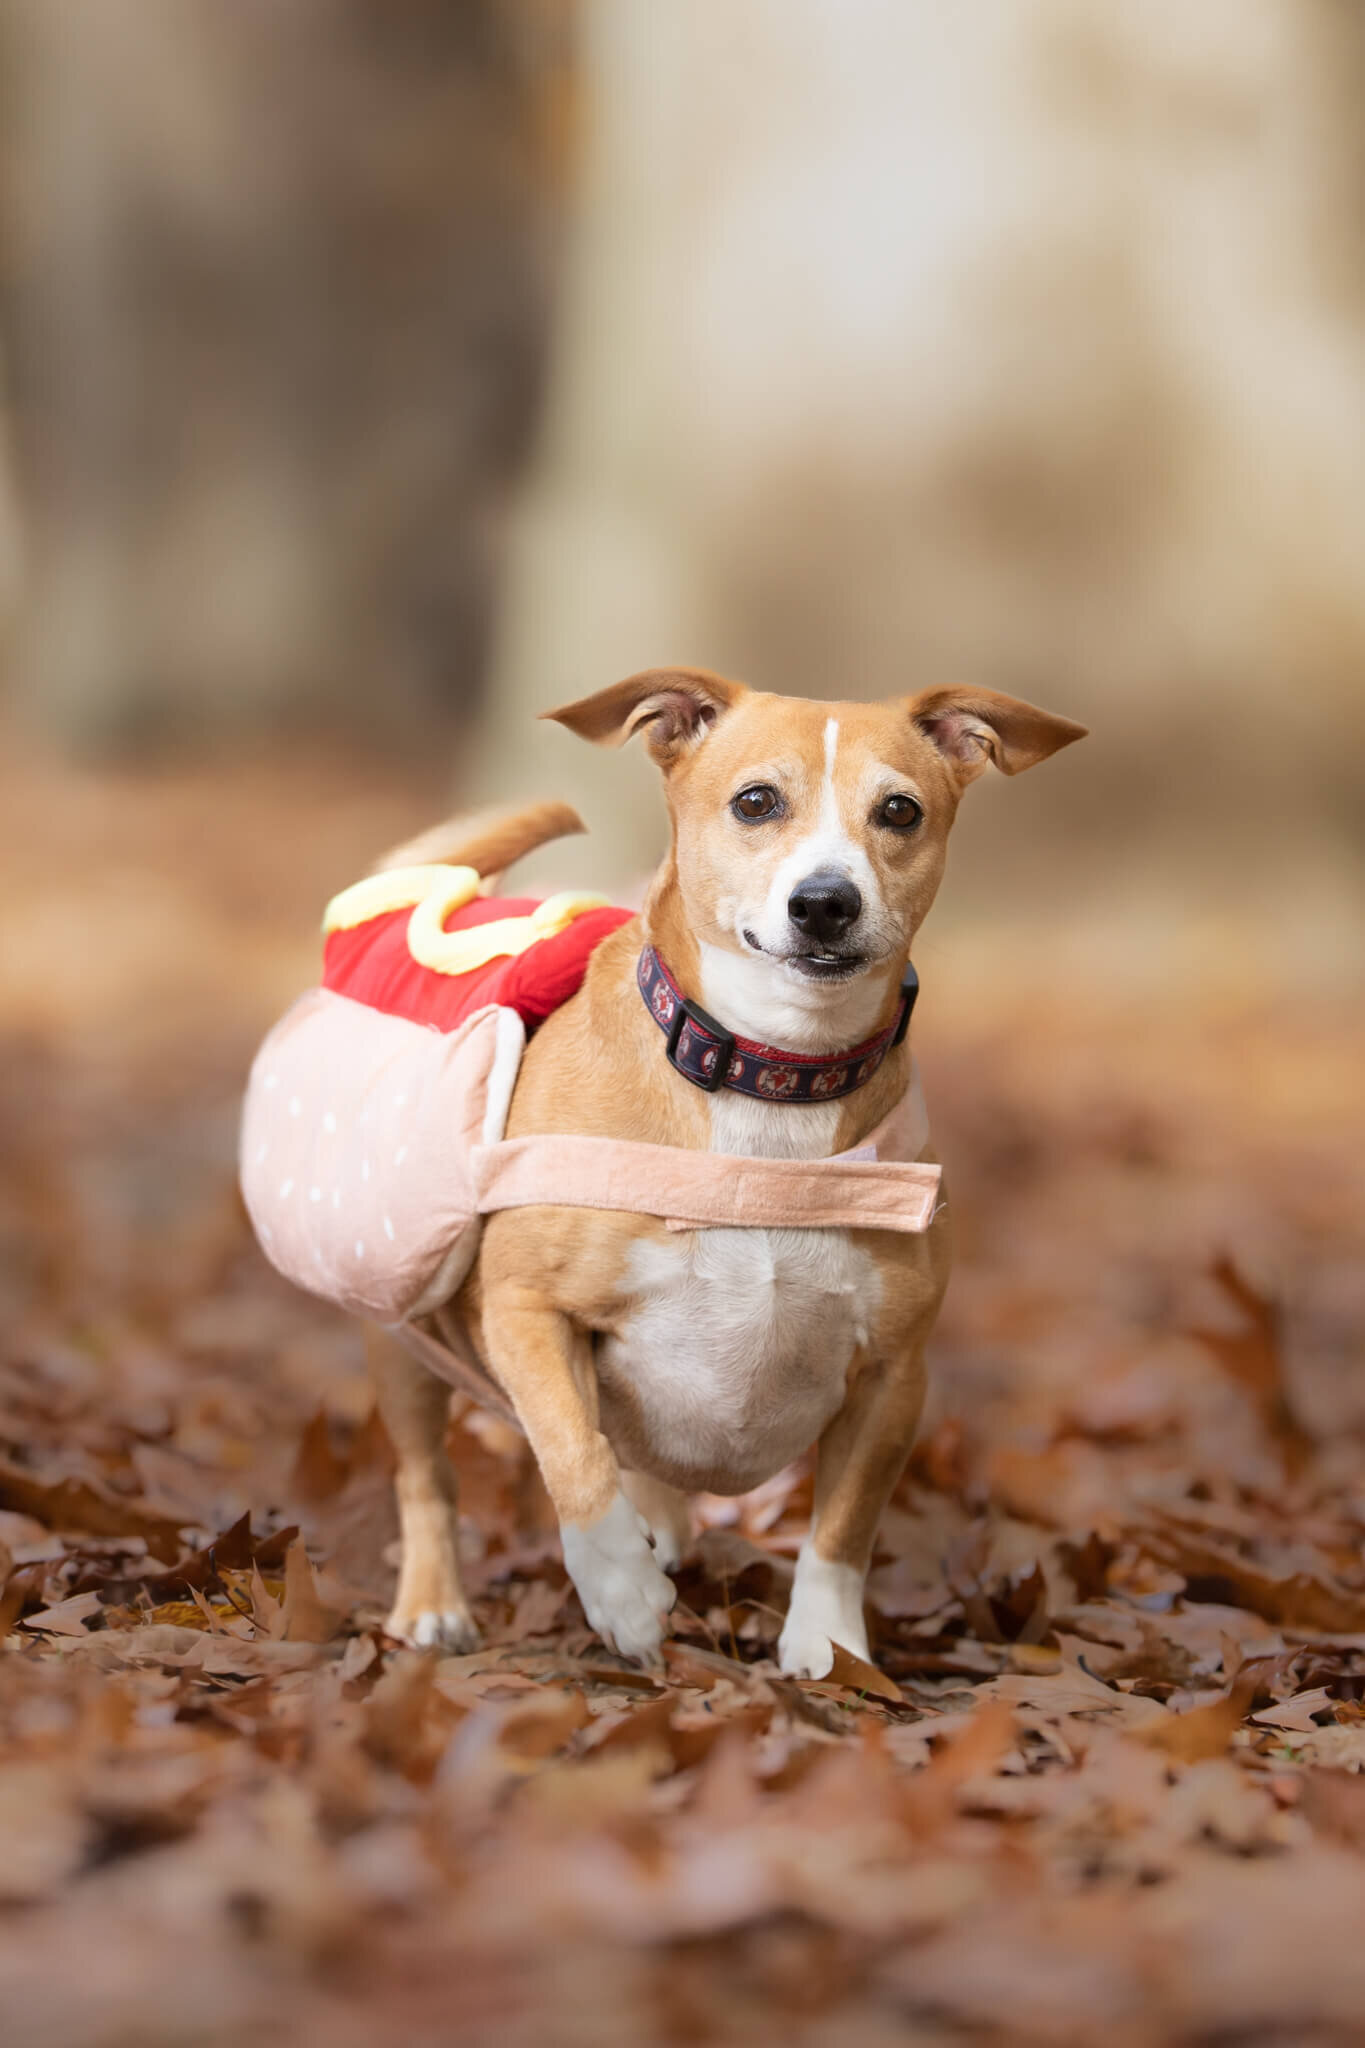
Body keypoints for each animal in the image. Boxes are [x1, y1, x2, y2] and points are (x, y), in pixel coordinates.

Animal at [358, 663, 1080, 1671]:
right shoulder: (525, 1311)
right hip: (404, 1348)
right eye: (755, 801)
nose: (824, 901)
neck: (770, 1080)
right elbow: (572, 1452)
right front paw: (619, 1594)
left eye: (898, 811)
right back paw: (433, 1606)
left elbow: (841, 1528)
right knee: (430, 1479)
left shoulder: (892, 1375)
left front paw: (828, 1646)